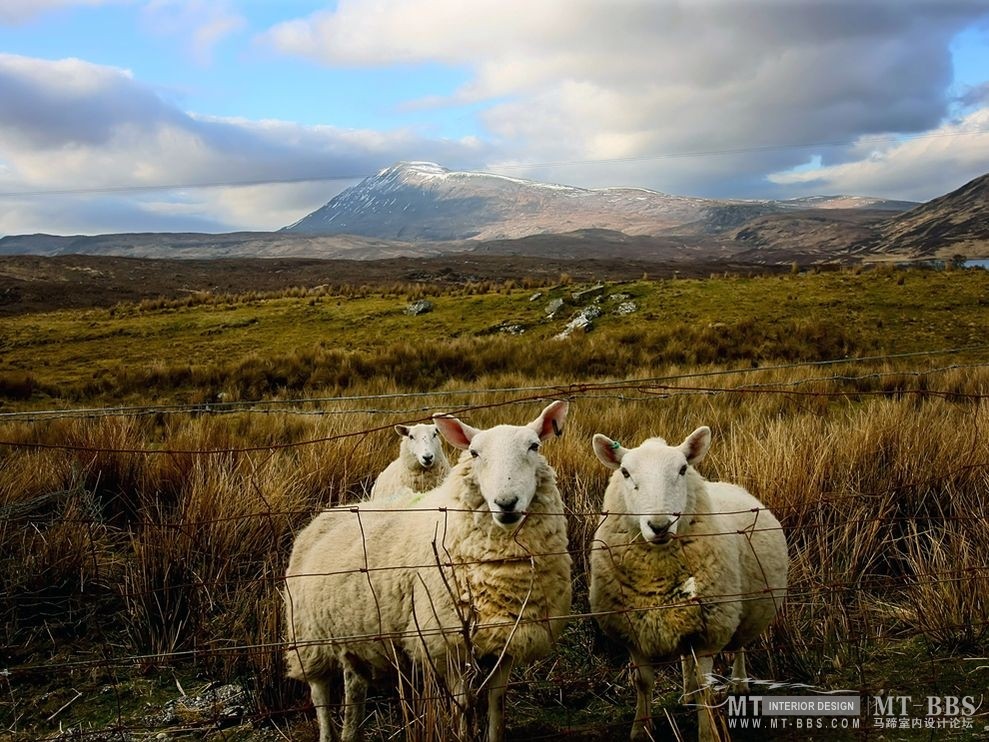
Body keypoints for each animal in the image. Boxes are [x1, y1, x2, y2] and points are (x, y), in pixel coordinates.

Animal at [282, 402, 572, 742]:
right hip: (308, 637)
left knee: (354, 688)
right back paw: (328, 732)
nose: (506, 502)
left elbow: (497, 703)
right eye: (474, 452)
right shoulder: (446, 639)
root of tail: (327, 515)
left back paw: (350, 732)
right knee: (320, 695)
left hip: (352, 637)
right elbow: (462, 705)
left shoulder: (506, 638)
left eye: (534, 446)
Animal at [588, 428, 788, 740]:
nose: (659, 526)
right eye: (625, 472)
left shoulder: (709, 631)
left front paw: (708, 733)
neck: (657, 577)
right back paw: (686, 695)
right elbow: (642, 682)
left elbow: (706, 685)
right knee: (685, 659)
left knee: (739, 647)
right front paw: (641, 729)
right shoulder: (632, 632)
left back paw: (739, 684)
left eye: (683, 469)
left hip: (744, 612)